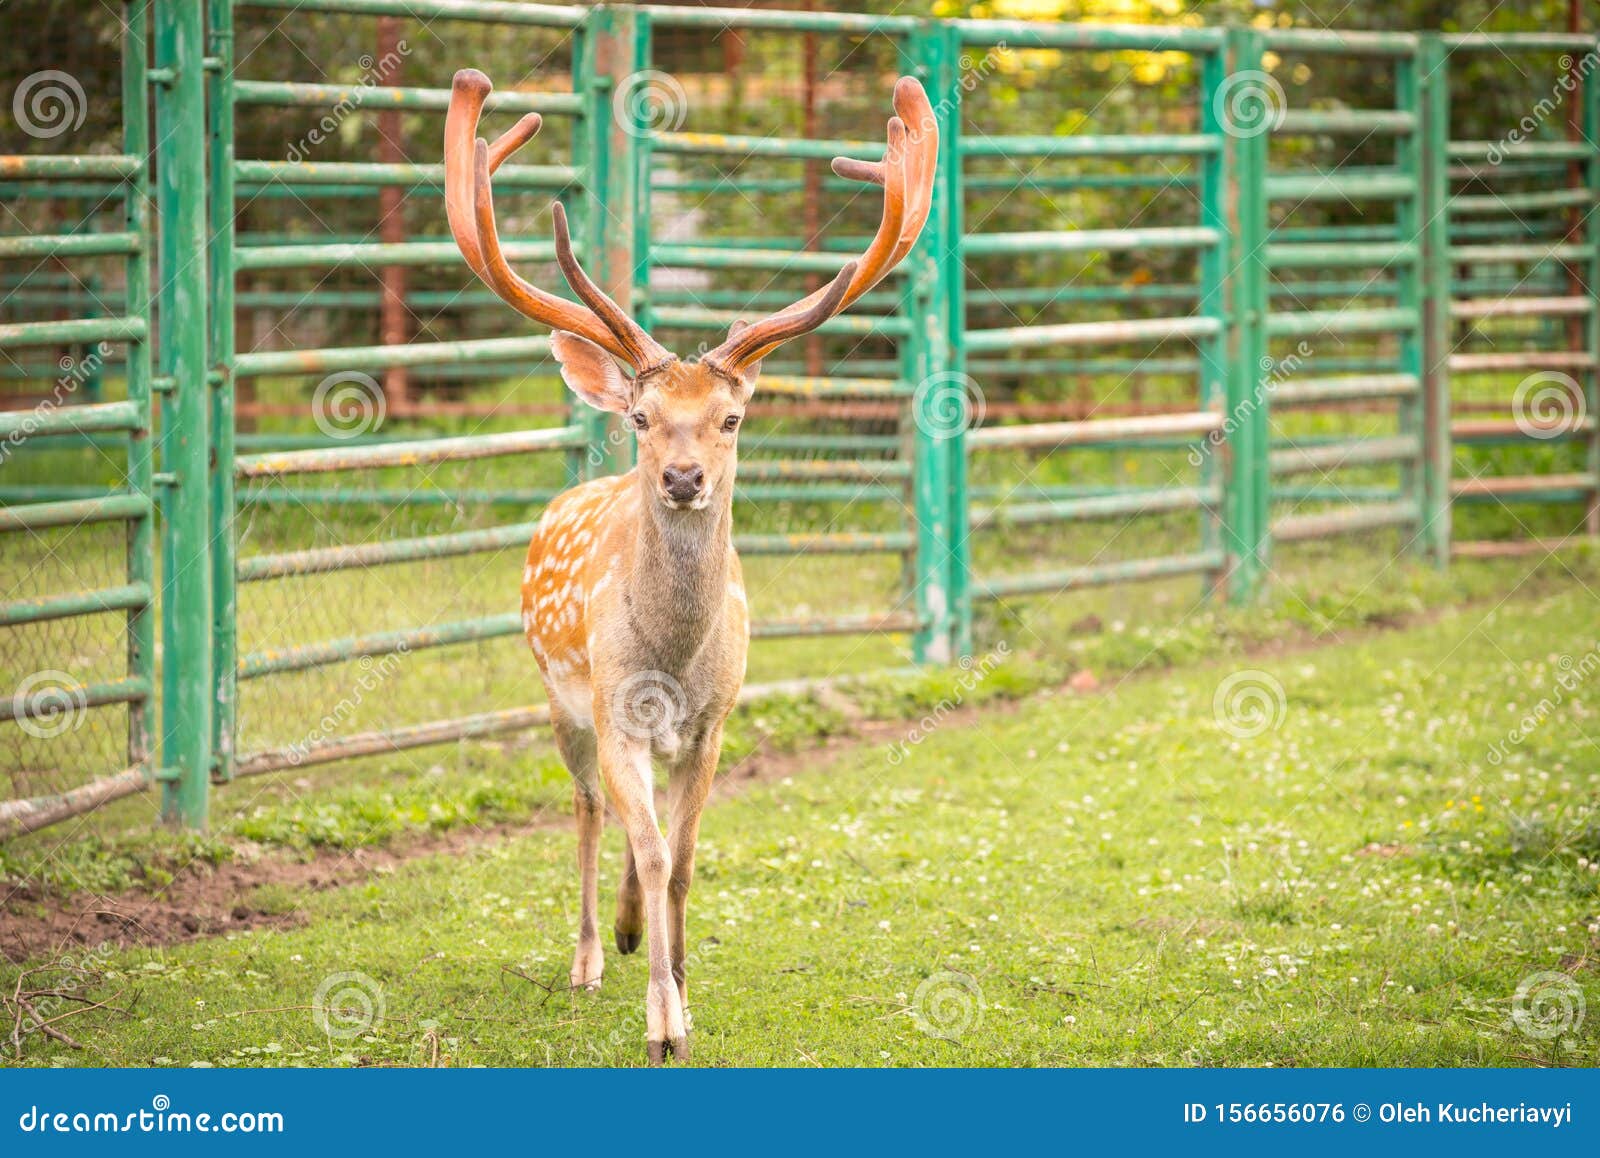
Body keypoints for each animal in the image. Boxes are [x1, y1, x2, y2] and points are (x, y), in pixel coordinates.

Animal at [443, 67, 936, 1064]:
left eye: (732, 418)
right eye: (641, 416)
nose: (680, 476)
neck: (671, 661)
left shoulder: (713, 722)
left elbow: (682, 861)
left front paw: (681, 987)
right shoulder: (615, 712)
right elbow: (652, 844)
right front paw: (662, 1022)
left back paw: (636, 936)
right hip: (560, 699)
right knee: (591, 810)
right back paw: (594, 956)